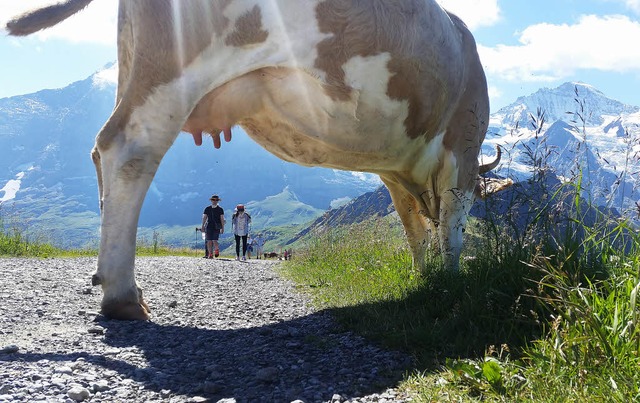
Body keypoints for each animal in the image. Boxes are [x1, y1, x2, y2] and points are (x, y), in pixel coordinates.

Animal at [5, 0, 504, 322]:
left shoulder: (395, 173)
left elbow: (414, 229)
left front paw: (424, 274)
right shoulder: (463, 147)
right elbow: (452, 227)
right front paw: (452, 278)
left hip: (135, 64)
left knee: (101, 150)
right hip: (178, 64)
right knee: (128, 150)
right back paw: (124, 296)